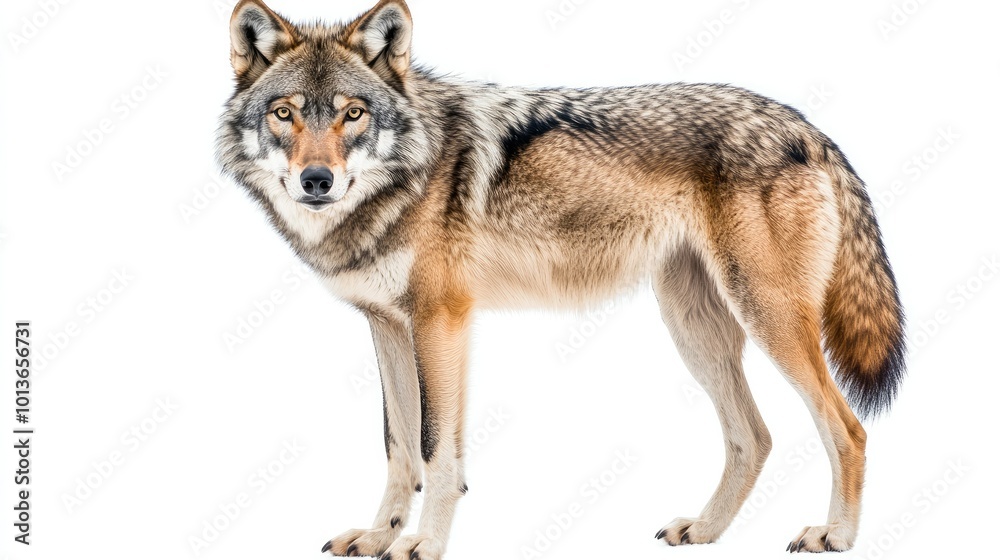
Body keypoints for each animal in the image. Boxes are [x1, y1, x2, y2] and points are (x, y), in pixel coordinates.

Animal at [216, 1, 906, 557]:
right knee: (754, 437)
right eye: (286, 114)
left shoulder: (441, 321)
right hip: (695, 332)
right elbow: (399, 449)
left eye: (353, 114)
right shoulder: (387, 327)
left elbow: (437, 451)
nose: (317, 180)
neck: (408, 173)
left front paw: (422, 545)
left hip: (768, 320)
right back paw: (706, 530)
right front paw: (378, 537)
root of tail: (806, 126)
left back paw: (835, 536)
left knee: (848, 429)